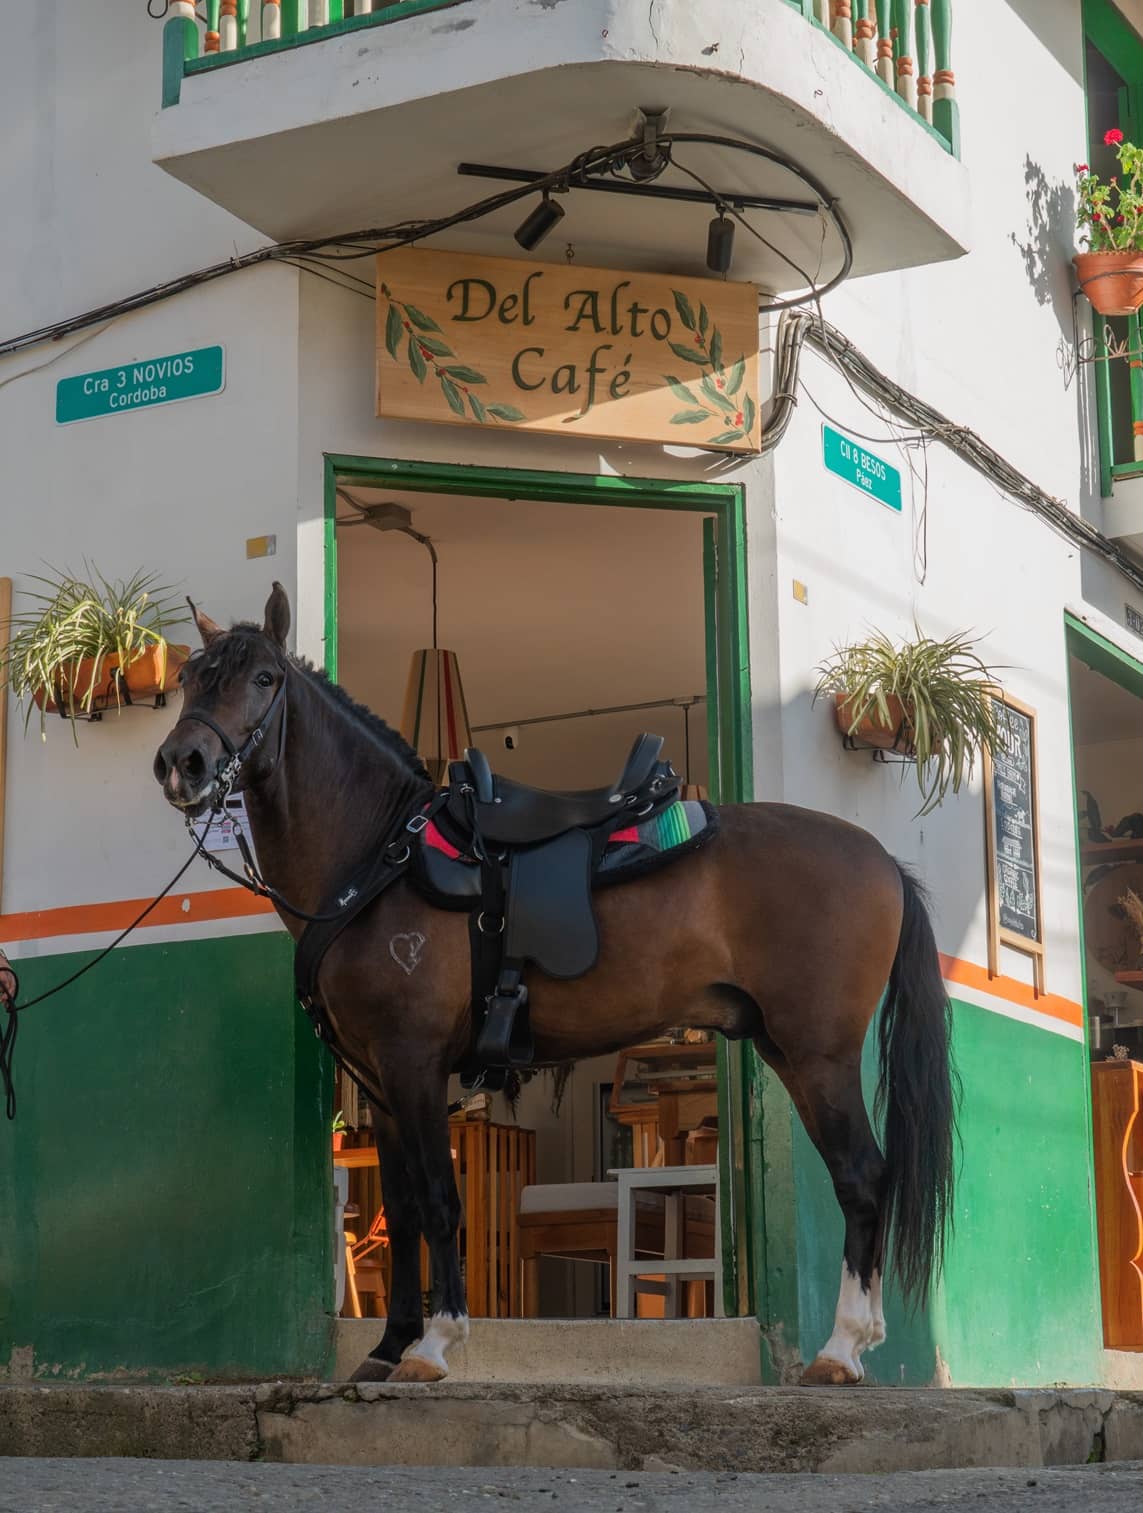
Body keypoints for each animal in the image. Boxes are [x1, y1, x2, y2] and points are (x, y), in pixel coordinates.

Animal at [154, 584, 956, 1385]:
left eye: (264, 679)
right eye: (190, 676)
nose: (180, 763)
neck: (379, 857)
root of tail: (881, 858)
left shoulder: (414, 1062)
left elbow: (441, 1200)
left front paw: (435, 1343)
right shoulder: (380, 1080)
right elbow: (405, 1207)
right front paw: (387, 1346)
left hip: (818, 1055)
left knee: (860, 1176)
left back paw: (841, 1349)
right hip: (785, 1050)